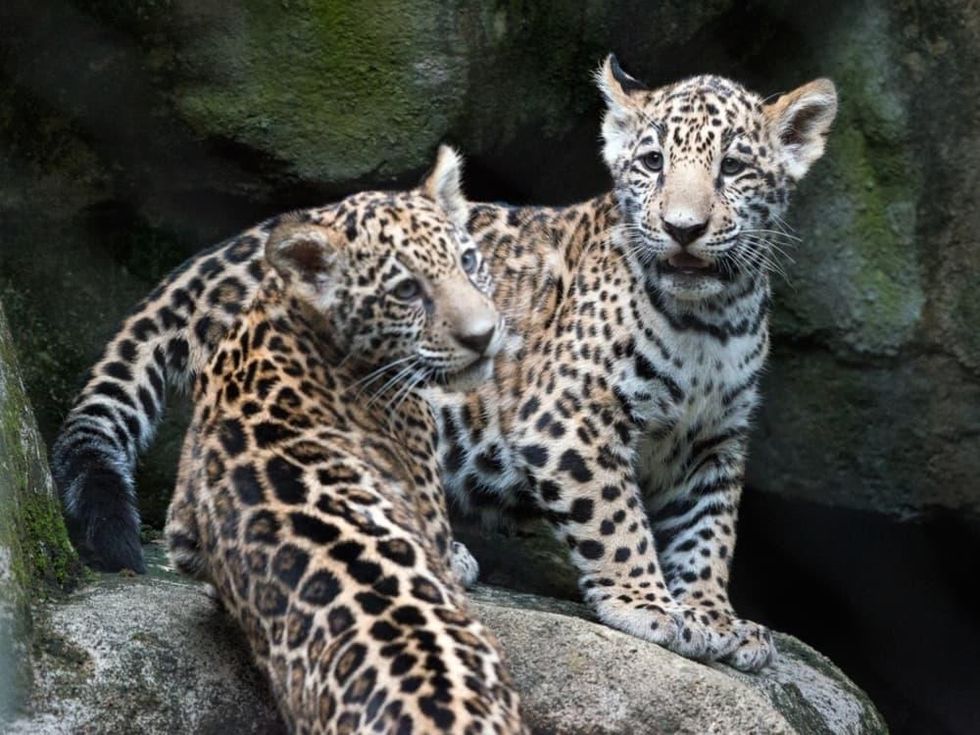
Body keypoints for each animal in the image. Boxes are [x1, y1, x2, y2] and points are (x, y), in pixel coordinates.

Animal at [52, 55, 836, 673]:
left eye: (733, 167)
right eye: (651, 164)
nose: (683, 228)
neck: (711, 319)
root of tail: (238, 248)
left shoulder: (716, 441)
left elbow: (709, 532)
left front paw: (713, 615)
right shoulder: (569, 418)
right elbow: (616, 519)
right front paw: (646, 604)